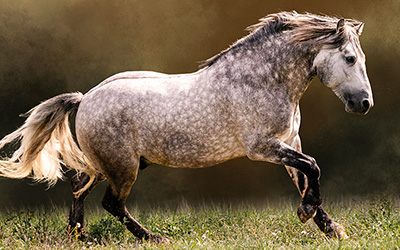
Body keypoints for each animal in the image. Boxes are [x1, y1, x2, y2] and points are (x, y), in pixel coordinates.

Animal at [1, 11, 374, 242]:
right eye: (350, 58)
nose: (364, 104)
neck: (262, 80)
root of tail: (85, 98)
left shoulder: (289, 142)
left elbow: (305, 176)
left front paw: (330, 228)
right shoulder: (263, 147)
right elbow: (313, 167)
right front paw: (308, 213)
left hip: (108, 164)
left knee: (80, 186)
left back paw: (80, 235)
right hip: (122, 167)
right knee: (112, 204)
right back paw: (152, 237)